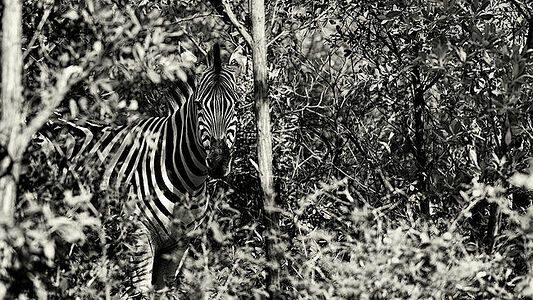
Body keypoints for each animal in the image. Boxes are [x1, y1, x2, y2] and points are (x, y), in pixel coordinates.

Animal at [41, 43, 239, 296]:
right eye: (198, 105)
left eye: (236, 104)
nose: (218, 162)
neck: (189, 182)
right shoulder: (138, 237)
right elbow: (140, 291)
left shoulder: (178, 246)